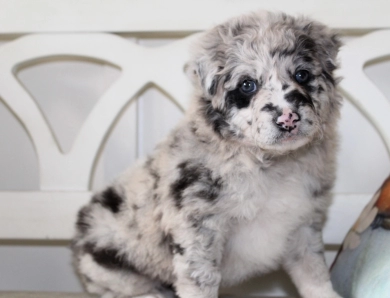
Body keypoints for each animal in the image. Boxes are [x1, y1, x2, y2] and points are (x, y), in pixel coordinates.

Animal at [71, 10, 342, 298]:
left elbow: (313, 272)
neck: (269, 163)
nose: (288, 118)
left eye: (302, 75)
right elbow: (200, 281)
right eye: (247, 85)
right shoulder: (198, 230)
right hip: (109, 265)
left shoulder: (303, 223)